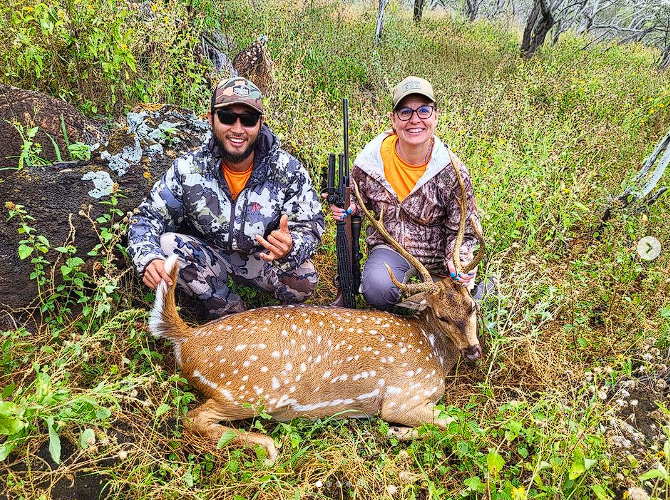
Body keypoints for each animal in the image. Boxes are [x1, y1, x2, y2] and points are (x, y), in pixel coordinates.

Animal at [149, 164, 485, 463]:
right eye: (441, 315)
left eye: (472, 306)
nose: (473, 351)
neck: (434, 355)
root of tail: (187, 338)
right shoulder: (401, 396)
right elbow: (460, 425)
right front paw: (398, 433)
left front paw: (398, 433)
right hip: (249, 390)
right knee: (193, 418)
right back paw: (268, 447)